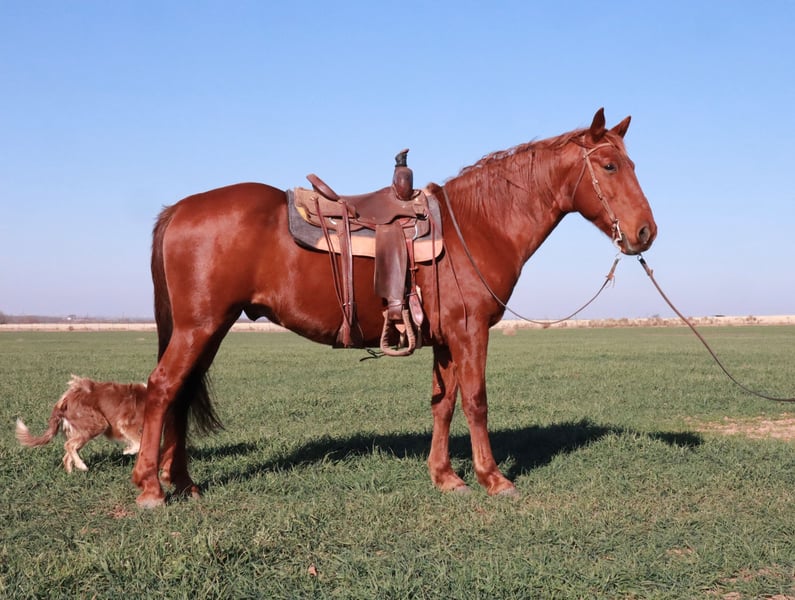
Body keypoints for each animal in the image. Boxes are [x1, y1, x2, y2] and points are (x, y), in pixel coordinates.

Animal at [15, 375, 147, 473]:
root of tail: (65, 398)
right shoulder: (127, 425)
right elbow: (138, 443)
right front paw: (128, 451)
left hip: (81, 431)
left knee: (67, 456)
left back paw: (71, 476)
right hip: (97, 423)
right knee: (68, 445)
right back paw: (82, 466)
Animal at [132, 108, 657, 508]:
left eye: (632, 164)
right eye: (609, 166)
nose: (646, 232)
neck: (478, 225)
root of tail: (179, 209)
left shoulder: (446, 338)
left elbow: (444, 403)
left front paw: (446, 477)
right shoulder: (471, 332)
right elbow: (477, 401)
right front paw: (493, 478)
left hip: (210, 328)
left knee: (181, 394)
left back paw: (183, 483)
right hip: (199, 327)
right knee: (161, 389)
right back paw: (150, 488)